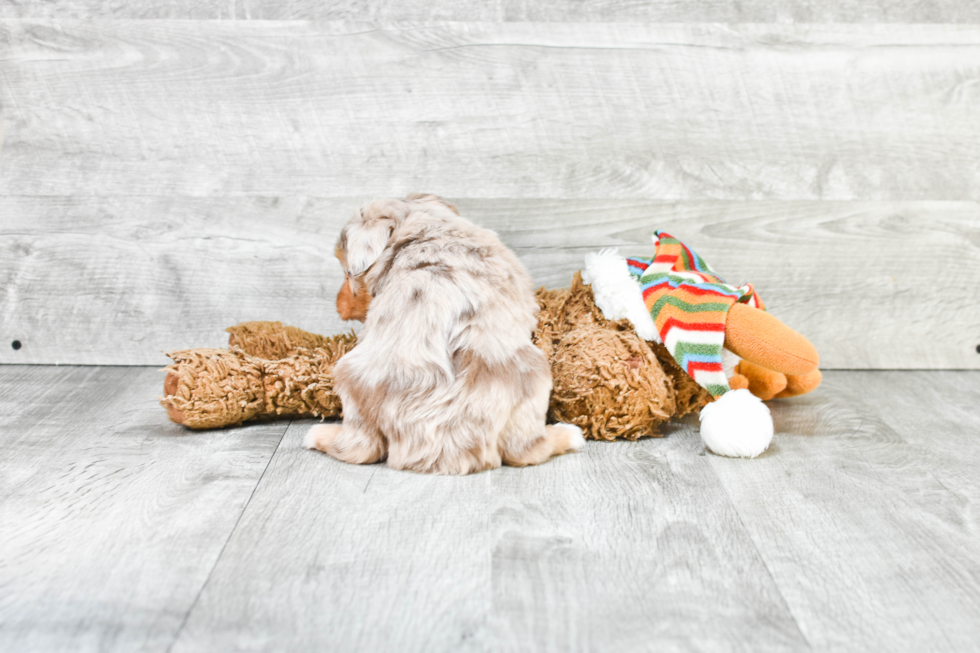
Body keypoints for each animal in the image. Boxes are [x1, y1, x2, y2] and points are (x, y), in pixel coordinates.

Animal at [306, 194, 580, 474]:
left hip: (349, 377)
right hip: (536, 378)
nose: (338, 304)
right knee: (526, 451)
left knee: (360, 449)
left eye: (347, 273)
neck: (423, 226)